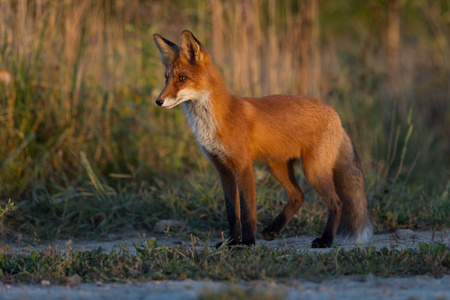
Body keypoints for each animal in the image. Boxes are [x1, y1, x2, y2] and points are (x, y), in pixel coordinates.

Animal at [153, 30, 370, 247]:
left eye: (182, 78)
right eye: (166, 79)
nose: (158, 101)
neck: (213, 122)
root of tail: (333, 112)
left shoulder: (243, 166)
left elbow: (248, 211)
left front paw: (247, 242)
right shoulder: (222, 169)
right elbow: (232, 213)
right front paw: (231, 241)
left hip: (313, 170)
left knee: (336, 202)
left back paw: (326, 240)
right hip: (277, 167)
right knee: (298, 196)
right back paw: (273, 230)